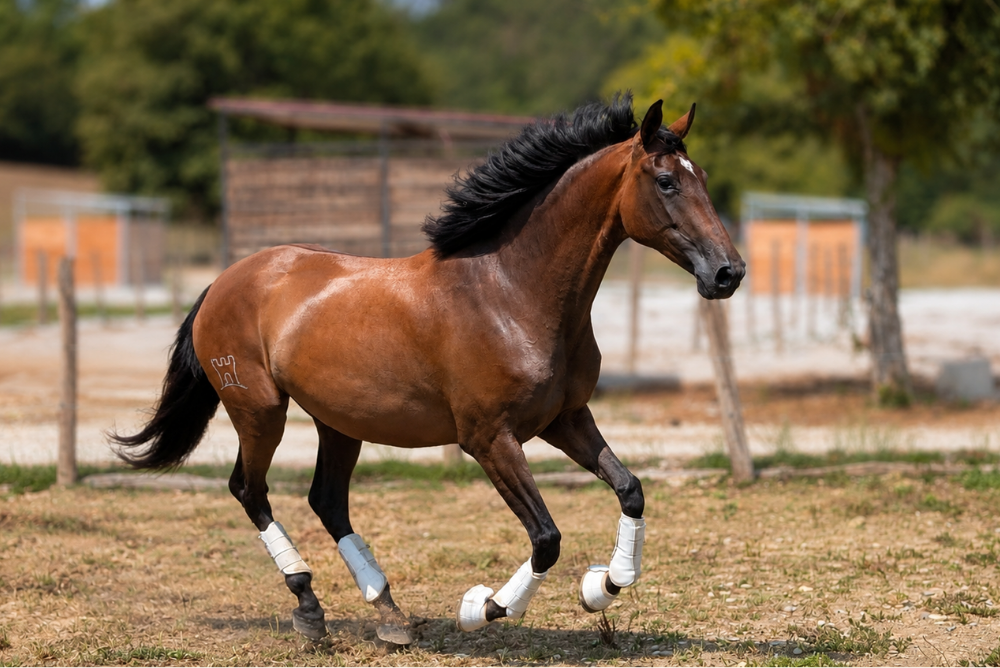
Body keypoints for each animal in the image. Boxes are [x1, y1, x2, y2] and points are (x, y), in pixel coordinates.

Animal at [112, 93, 744, 645]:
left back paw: (389, 614)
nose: (728, 273)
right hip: (260, 410)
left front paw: (602, 587)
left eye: (702, 178)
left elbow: (630, 489)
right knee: (251, 489)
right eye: (667, 181)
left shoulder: (565, 419)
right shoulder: (489, 439)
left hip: (338, 421)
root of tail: (224, 281)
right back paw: (309, 606)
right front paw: (482, 608)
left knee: (327, 501)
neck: (511, 293)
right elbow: (546, 537)